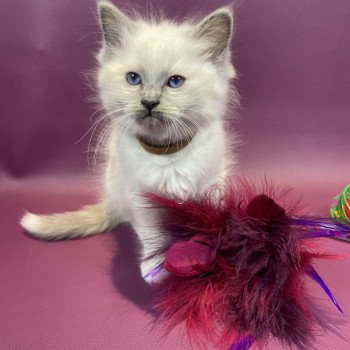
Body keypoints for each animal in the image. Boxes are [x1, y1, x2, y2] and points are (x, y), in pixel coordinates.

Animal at [19, 1, 238, 284]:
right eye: (133, 79)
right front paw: (155, 268)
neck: (166, 153)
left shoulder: (211, 187)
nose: (149, 103)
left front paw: (212, 254)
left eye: (175, 82)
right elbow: (153, 236)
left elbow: (210, 225)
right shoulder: (141, 199)